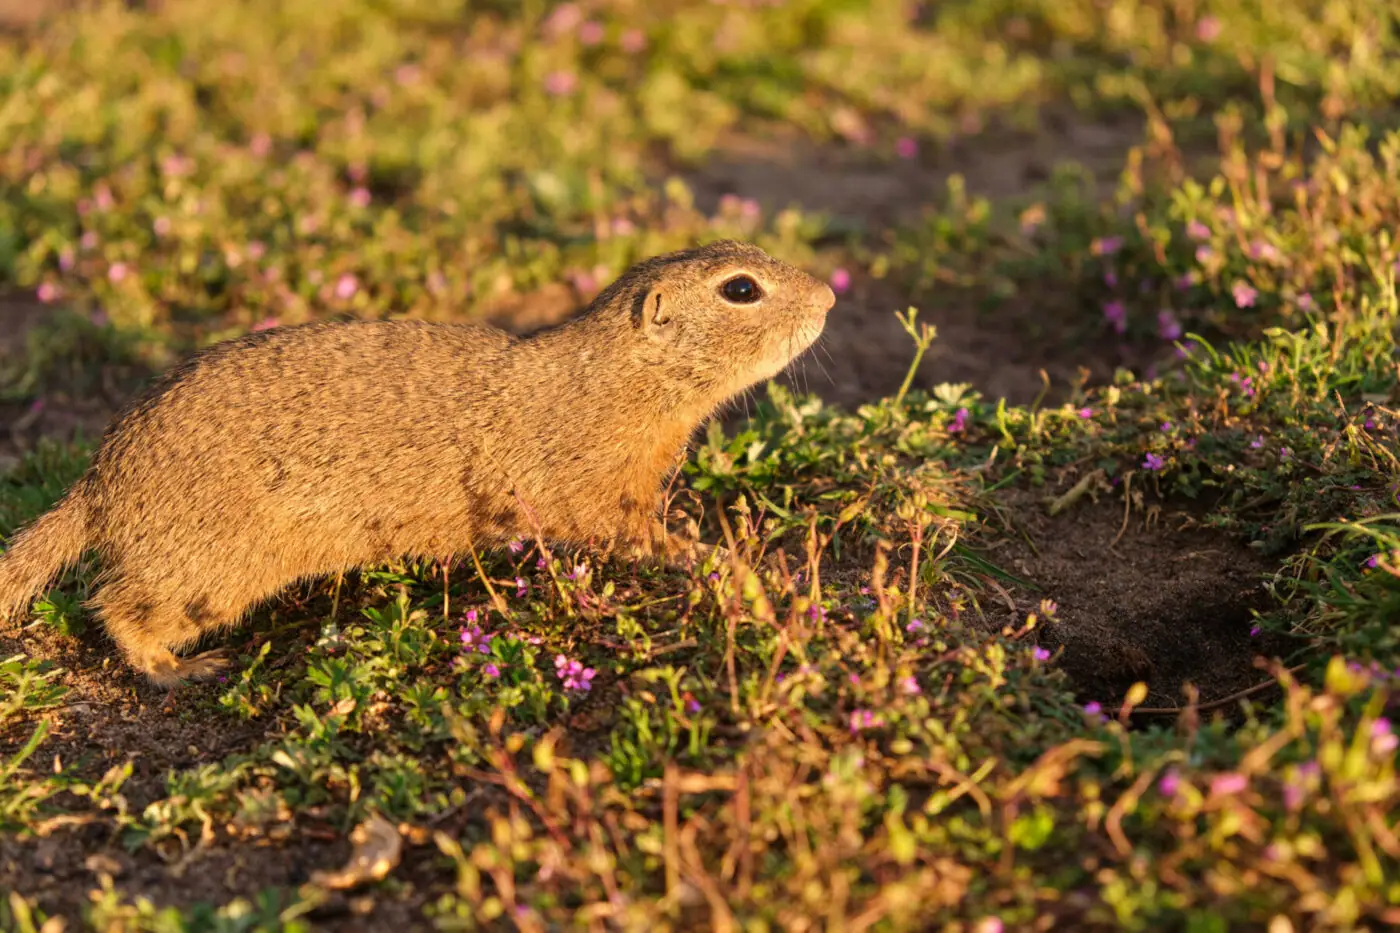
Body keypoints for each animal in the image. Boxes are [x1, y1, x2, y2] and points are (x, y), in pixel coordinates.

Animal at [0, 240, 834, 686]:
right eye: (741, 289)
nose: (830, 293)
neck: (616, 378)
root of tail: (98, 482)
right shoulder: (593, 490)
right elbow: (639, 536)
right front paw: (722, 561)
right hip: (208, 569)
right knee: (115, 605)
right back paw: (177, 666)